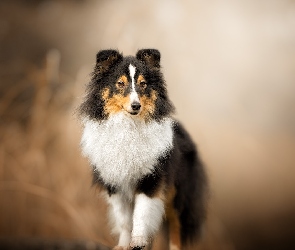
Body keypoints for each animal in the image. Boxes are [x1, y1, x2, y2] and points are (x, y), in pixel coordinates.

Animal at [78, 48, 208, 250]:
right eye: (120, 83)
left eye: (143, 84)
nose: (136, 105)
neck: (129, 126)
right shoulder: (115, 184)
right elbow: (124, 220)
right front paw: (123, 245)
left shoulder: (151, 180)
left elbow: (141, 214)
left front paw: (137, 240)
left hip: (177, 193)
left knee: (176, 225)